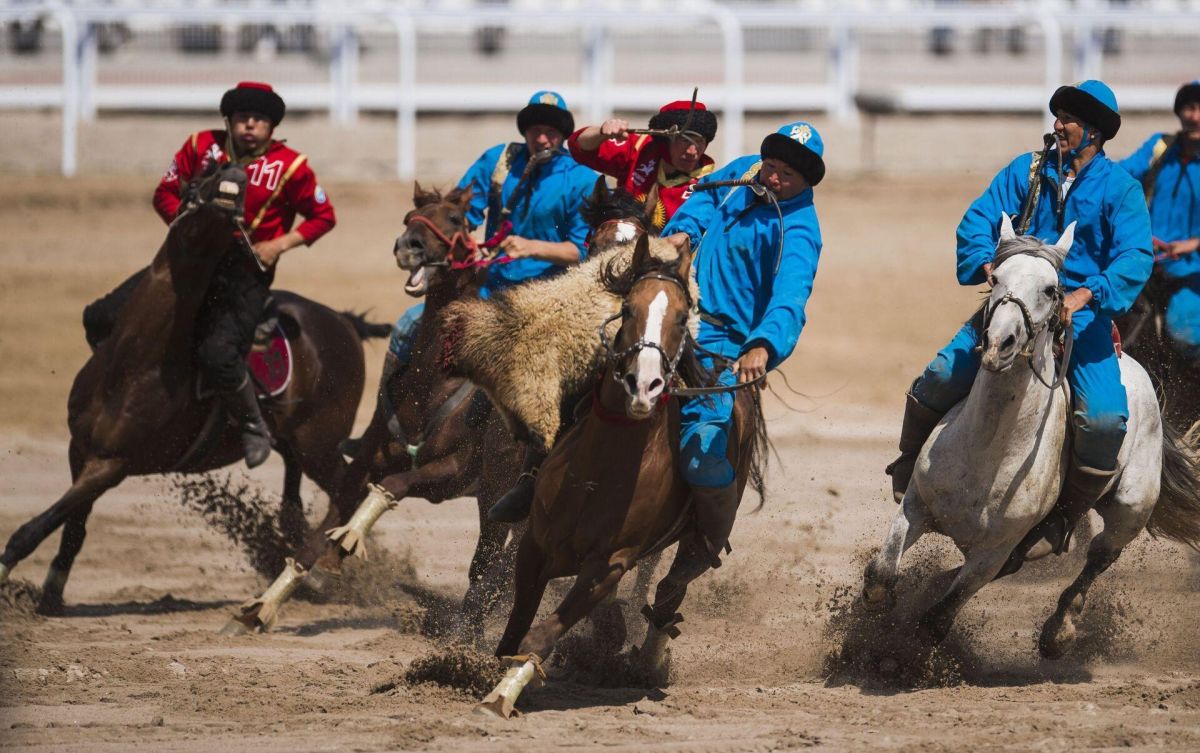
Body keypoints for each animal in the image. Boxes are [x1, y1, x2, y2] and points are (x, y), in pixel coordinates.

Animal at [0, 163, 384, 611]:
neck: (135, 363)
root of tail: (343, 321)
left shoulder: (111, 465)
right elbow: (72, 526)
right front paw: (51, 593)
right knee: (294, 493)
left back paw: (322, 568)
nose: (233, 175)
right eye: (202, 175)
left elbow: (34, 527)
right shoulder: (80, 450)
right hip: (298, 444)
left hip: (319, 444)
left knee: (346, 488)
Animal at [225, 183, 525, 642]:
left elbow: (392, 486)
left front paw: (345, 544)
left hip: (497, 492)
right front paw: (261, 607)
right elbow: (316, 535)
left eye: (457, 219)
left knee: (495, 562)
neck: (432, 386)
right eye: (409, 218)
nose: (409, 246)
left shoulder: (450, 474)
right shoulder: (362, 463)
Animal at [475, 233, 768, 719]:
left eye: (683, 317)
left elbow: (540, 637)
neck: (598, 472)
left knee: (670, 593)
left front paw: (502, 695)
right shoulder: (534, 545)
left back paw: (648, 662)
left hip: (696, 542)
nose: (643, 386)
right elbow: (515, 629)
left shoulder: (610, 565)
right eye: (628, 308)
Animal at [859, 213, 1200, 666]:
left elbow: (937, 620)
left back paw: (1059, 631)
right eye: (995, 277)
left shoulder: (994, 551)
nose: (999, 344)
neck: (987, 450)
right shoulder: (916, 504)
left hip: (1131, 508)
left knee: (1098, 557)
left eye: (1051, 289)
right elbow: (881, 576)